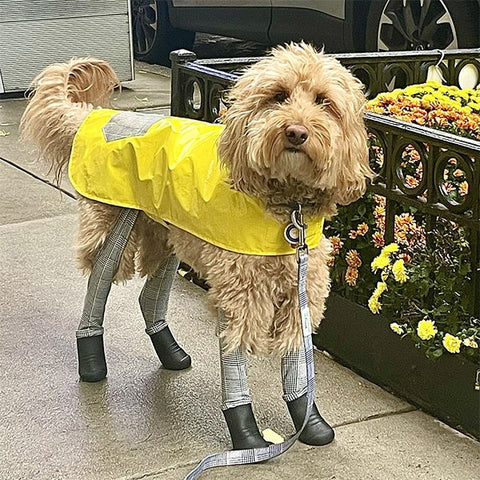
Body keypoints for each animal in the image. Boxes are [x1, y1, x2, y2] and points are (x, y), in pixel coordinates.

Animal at [20, 42, 372, 450]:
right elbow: (234, 359)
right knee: (100, 282)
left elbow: (295, 355)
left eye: (323, 101)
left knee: (150, 297)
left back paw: (170, 352)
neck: (285, 203)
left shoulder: (302, 285)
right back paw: (91, 360)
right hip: (118, 220)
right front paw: (246, 434)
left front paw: (309, 421)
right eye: (278, 96)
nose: (296, 132)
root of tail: (96, 116)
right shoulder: (240, 293)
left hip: (169, 230)